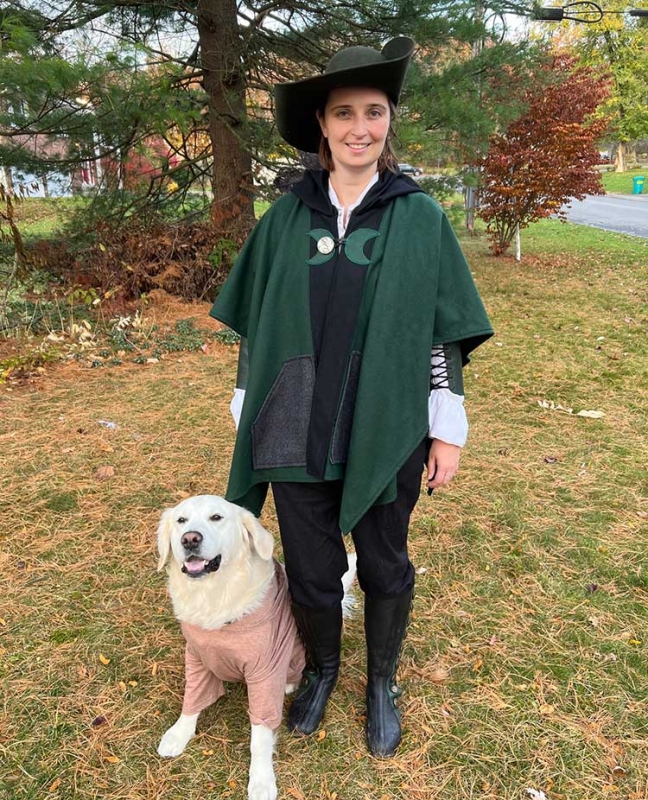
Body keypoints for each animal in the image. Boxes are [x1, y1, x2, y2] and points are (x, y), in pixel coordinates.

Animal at [158, 494, 356, 800]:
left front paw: (261, 780)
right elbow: (192, 698)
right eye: (181, 520)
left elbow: (260, 736)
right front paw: (179, 733)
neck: (215, 596)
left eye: (217, 517)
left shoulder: (266, 669)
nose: (190, 539)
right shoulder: (197, 657)